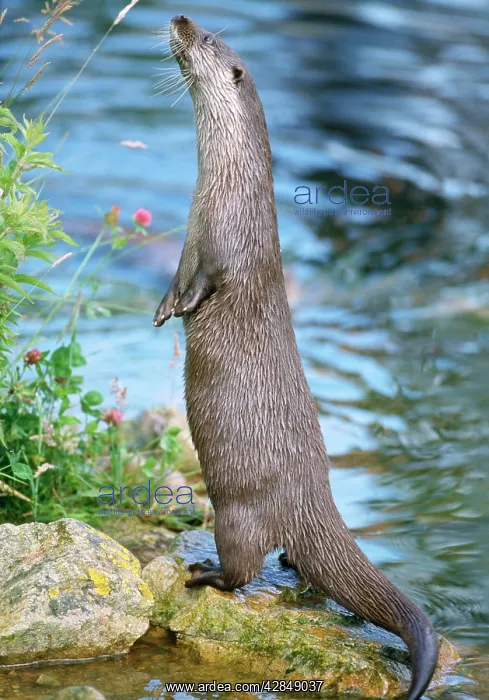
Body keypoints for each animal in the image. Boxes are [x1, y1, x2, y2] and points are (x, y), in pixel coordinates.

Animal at [153, 15, 439, 699]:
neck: (223, 191)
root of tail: (314, 498)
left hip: (238, 511)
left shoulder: (225, 249)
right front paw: (161, 311)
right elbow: (175, 284)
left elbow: (207, 286)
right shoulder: (187, 242)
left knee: (241, 567)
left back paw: (205, 572)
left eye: (207, 40)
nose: (180, 20)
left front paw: (185, 310)